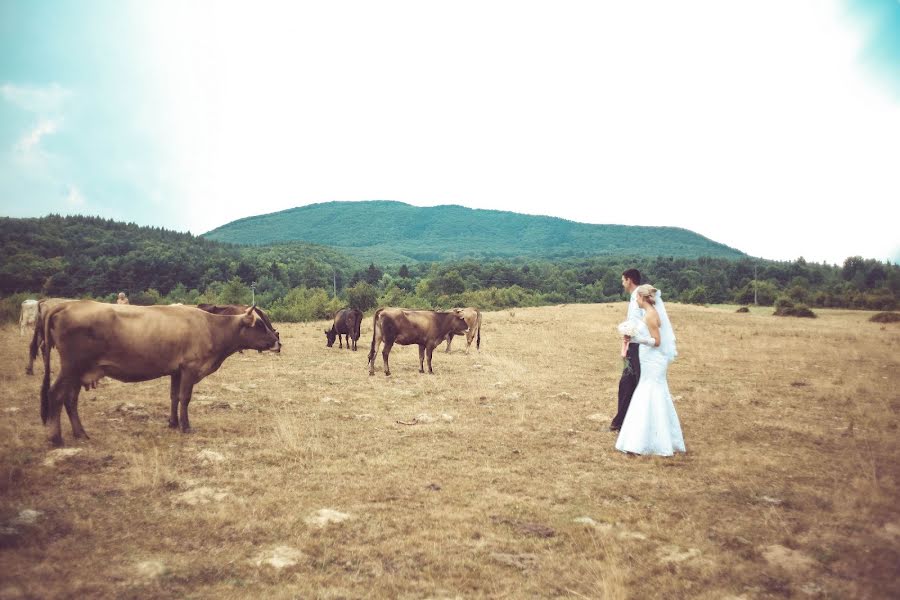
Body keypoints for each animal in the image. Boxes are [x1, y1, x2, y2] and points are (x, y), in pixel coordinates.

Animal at [38, 300, 282, 446]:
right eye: (260, 325)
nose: (277, 343)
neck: (212, 327)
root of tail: (67, 304)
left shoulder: (176, 371)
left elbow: (174, 396)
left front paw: (172, 423)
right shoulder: (190, 368)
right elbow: (185, 398)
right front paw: (185, 426)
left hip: (78, 372)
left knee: (70, 399)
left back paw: (81, 433)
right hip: (72, 367)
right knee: (56, 395)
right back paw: (56, 438)